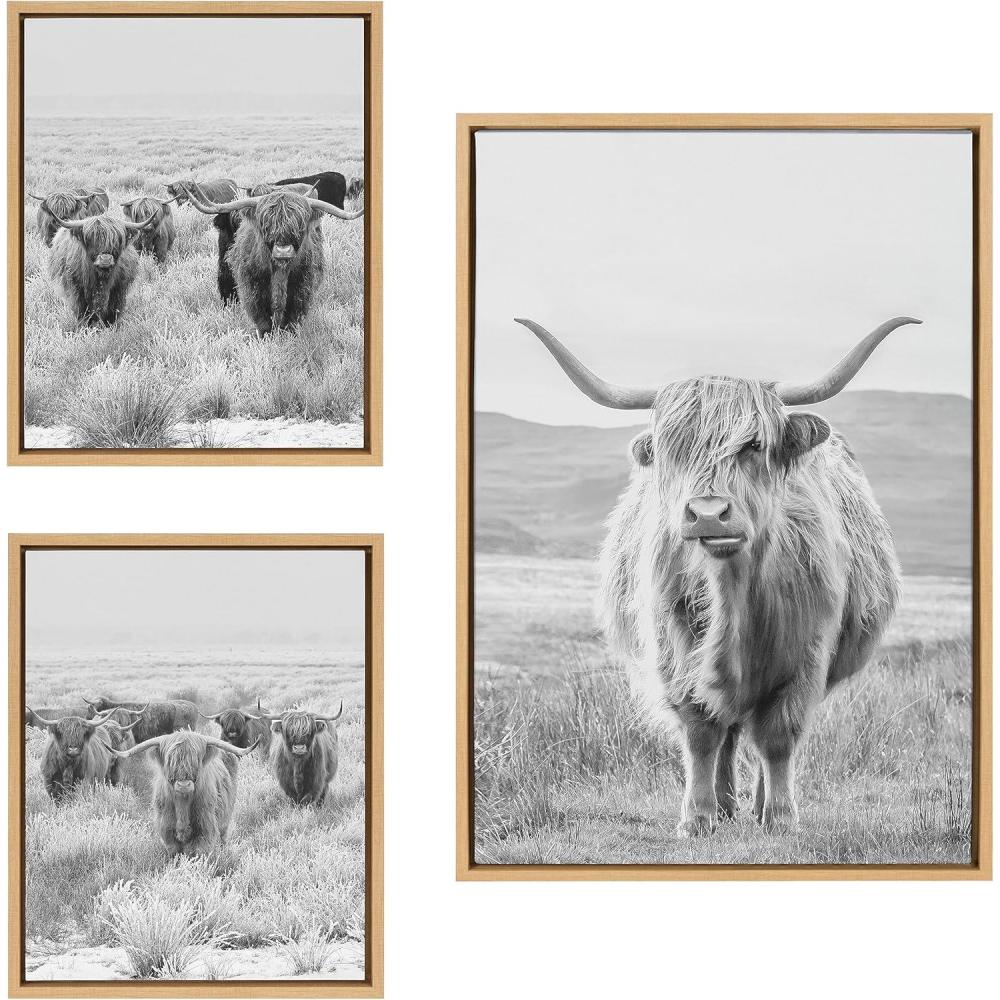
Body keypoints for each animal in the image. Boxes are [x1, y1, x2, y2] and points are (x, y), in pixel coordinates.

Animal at [108, 730, 257, 856]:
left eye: (196, 760)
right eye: (170, 760)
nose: (183, 784)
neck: (182, 805)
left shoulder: (205, 830)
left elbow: (198, 855)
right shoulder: (167, 831)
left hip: (225, 820)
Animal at [182, 185, 362, 335]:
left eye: (300, 224)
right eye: (266, 223)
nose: (283, 250)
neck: (279, 272)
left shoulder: (302, 288)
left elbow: (292, 318)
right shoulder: (252, 289)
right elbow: (262, 320)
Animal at [512, 315, 917, 836]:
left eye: (754, 446)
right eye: (673, 450)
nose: (707, 514)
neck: (733, 595)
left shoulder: (806, 655)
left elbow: (779, 736)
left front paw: (781, 817)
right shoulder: (674, 649)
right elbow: (702, 730)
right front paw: (698, 817)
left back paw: (760, 803)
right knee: (727, 730)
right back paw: (724, 805)